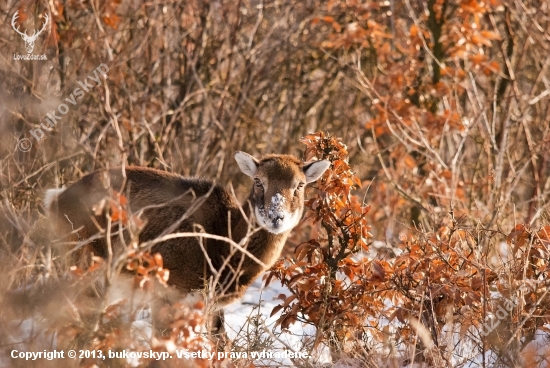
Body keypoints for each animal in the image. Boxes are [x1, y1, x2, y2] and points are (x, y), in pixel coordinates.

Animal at [44, 151, 332, 334]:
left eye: (300, 185)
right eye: (258, 181)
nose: (275, 216)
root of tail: (55, 199)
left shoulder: (210, 303)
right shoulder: (167, 290)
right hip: (85, 265)